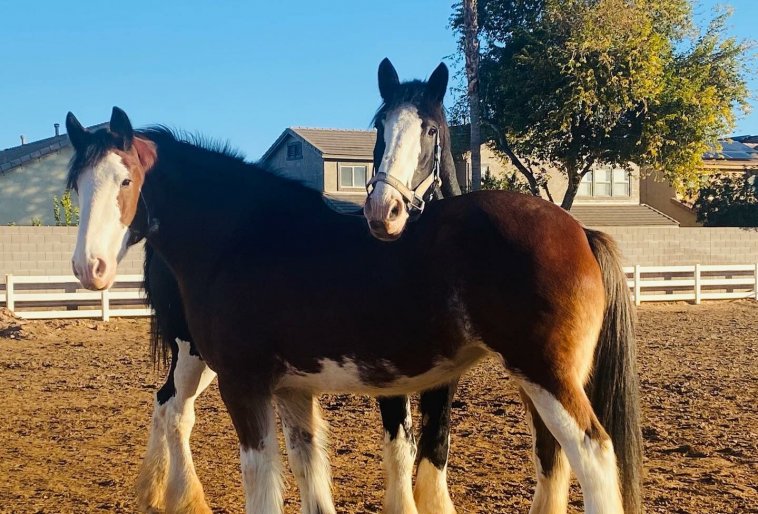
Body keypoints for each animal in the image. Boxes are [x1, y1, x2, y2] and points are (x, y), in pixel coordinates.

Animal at [68, 105, 644, 512]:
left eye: (125, 180)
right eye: (76, 183)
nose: (89, 266)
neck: (241, 235)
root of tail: (581, 230)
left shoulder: (244, 384)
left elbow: (264, 486)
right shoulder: (293, 391)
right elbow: (309, 476)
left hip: (545, 375)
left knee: (592, 456)